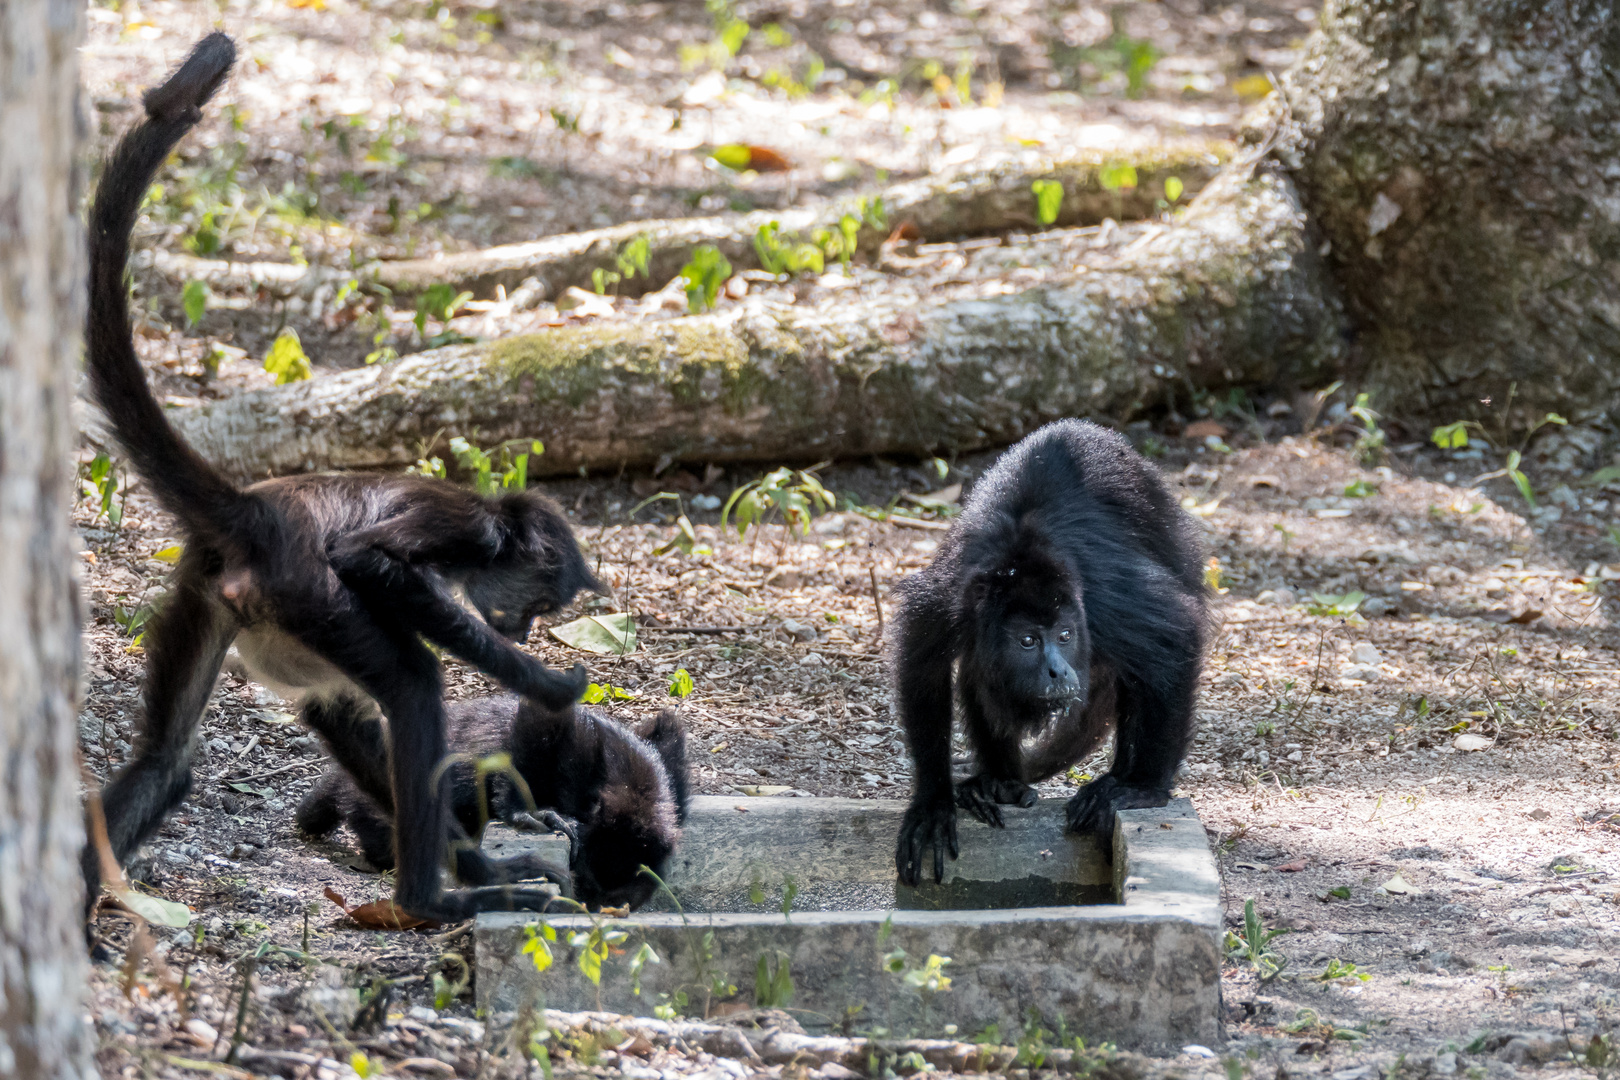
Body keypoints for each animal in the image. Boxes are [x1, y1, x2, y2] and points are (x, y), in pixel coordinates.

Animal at [887, 420, 1218, 887]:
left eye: (1064, 636)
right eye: (1028, 641)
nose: (1059, 672)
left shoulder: (1102, 596)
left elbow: (1177, 634)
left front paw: (1144, 787)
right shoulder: (947, 599)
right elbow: (921, 666)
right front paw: (933, 804)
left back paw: (1121, 779)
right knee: (975, 669)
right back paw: (998, 782)